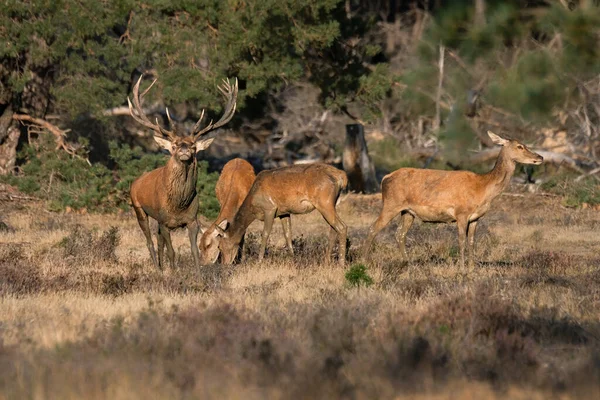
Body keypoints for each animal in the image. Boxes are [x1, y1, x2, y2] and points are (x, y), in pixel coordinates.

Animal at [130, 75, 238, 268]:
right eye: (173, 145)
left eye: (194, 146)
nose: (184, 149)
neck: (178, 205)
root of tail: (135, 183)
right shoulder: (164, 221)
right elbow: (172, 252)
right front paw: (174, 272)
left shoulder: (192, 220)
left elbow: (194, 251)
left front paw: (197, 272)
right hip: (138, 208)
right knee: (149, 242)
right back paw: (157, 269)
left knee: (158, 242)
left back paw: (161, 268)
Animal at [213, 162, 350, 266]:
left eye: (220, 246)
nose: (224, 264)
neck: (253, 206)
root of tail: (341, 177)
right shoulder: (283, 212)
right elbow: (288, 234)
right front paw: (293, 257)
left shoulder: (270, 208)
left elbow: (265, 234)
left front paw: (259, 260)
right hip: (332, 202)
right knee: (333, 229)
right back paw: (327, 261)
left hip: (324, 202)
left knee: (342, 226)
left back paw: (341, 263)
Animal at [360, 131, 544, 268]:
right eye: (520, 146)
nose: (540, 157)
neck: (483, 188)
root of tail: (385, 178)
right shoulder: (461, 213)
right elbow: (461, 241)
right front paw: (461, 269)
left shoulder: (476, 217)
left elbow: (471, 241)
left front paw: (472, 268)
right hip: (391, 204)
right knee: (373, 228)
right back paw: (365, 261)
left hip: (407, 211)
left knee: (400, 234)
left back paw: (408, 263)